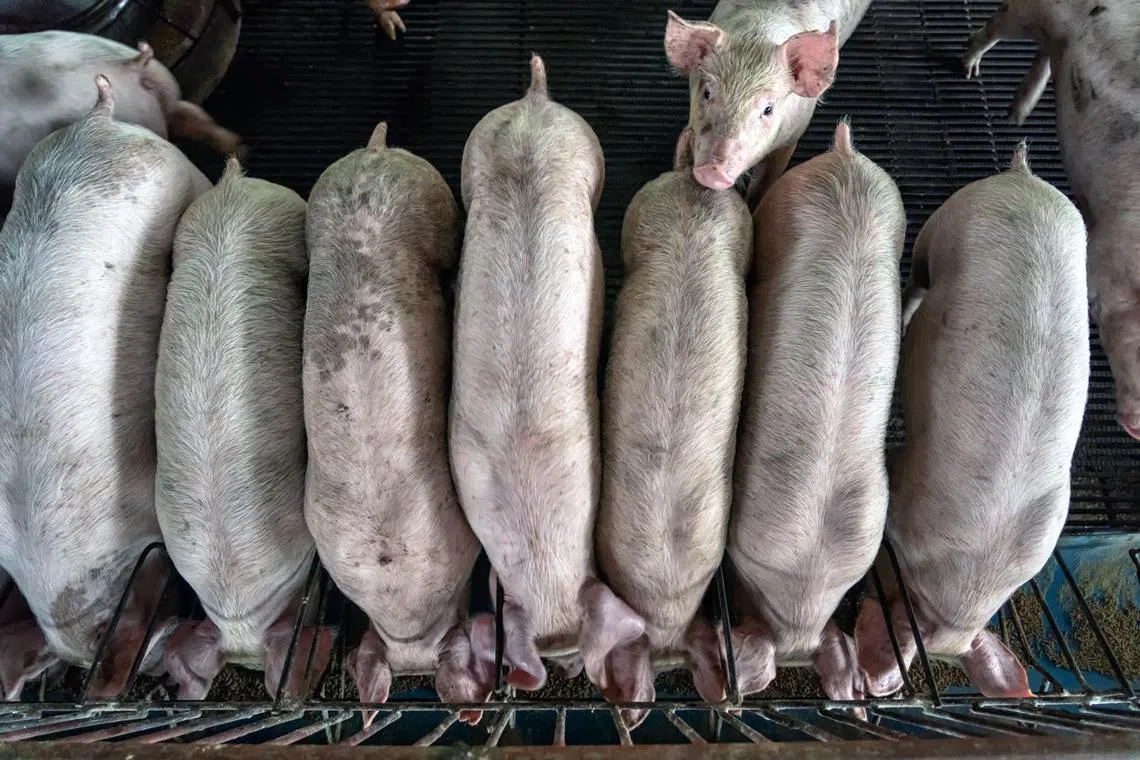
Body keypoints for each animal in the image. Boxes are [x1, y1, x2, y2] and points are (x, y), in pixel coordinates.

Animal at [663, 0, 871, 202]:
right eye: (707, 93)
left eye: (768, 109)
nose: (712, 170)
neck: (758, 34)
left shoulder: (792, 136)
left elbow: (766, 180)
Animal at [962, 2, 1140, 439]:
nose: (1135, 426)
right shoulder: (1106, 259)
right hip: (1028, 10)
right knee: (996, 27)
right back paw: (971, 71)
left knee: (1044, 54)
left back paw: (1018, 114)